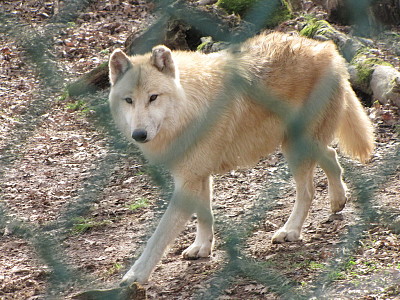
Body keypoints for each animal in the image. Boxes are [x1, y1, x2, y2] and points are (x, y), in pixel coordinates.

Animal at [108, 31, 374, 286]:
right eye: (129, 100)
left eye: (153, 97)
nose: (139, 134)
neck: (189, 108)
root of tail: (327, 49)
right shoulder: (197, 175)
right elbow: (204, 215)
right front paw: (202, 248)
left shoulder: (188, 181)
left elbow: (159, 236)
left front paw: (136, 275)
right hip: (300, 143)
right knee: (331, 155)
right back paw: (338, 200)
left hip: (296, 146)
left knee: (308, 190)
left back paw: (291, 231)